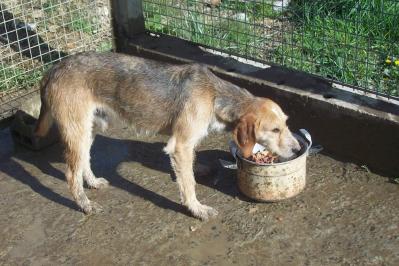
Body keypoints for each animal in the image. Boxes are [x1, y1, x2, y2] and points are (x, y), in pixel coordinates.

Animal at [34, 52, 300, 220]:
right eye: (274, 130)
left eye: (287, 124)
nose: (298, 150)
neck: (215, 95)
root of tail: (52, 70)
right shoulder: (179, 145)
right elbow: (188, 183)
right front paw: (197, 209)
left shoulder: (186, 143)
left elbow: (190, 166)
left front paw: (197, 168)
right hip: (76, 131)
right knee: (71, 174)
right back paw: (85, 204)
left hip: (90, 128)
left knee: (84, 162)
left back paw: (92, 182)